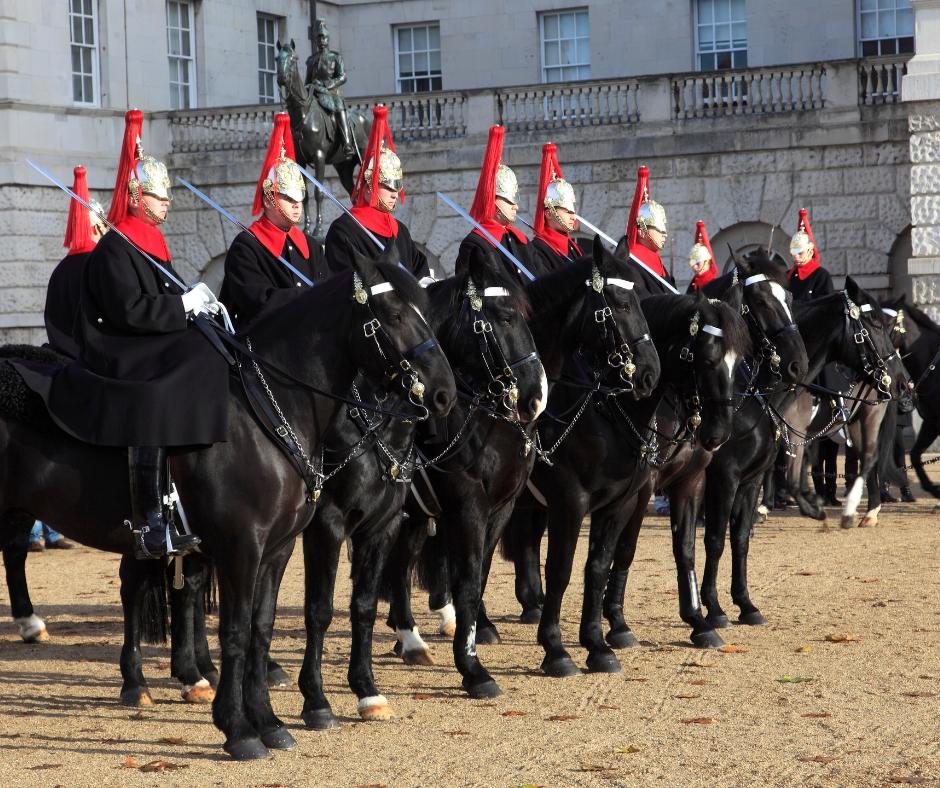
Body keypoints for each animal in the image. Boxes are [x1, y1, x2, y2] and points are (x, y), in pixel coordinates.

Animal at [0, 255, 456, 760]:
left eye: (427, 312)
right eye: (393, 314)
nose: (444, 393)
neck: (268, 411)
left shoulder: (281, 547)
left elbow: (263, 627)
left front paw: (270, 721)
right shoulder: (252, 544)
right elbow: (240, 631)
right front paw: (241, 728)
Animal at [696, 278, 912, 628]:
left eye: (890, 326)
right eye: (874, 323)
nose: (903, 383)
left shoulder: (774, 448)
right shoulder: (733, 471)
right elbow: (720, 534)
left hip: (867, 417)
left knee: (868, 460)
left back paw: (860, 510)